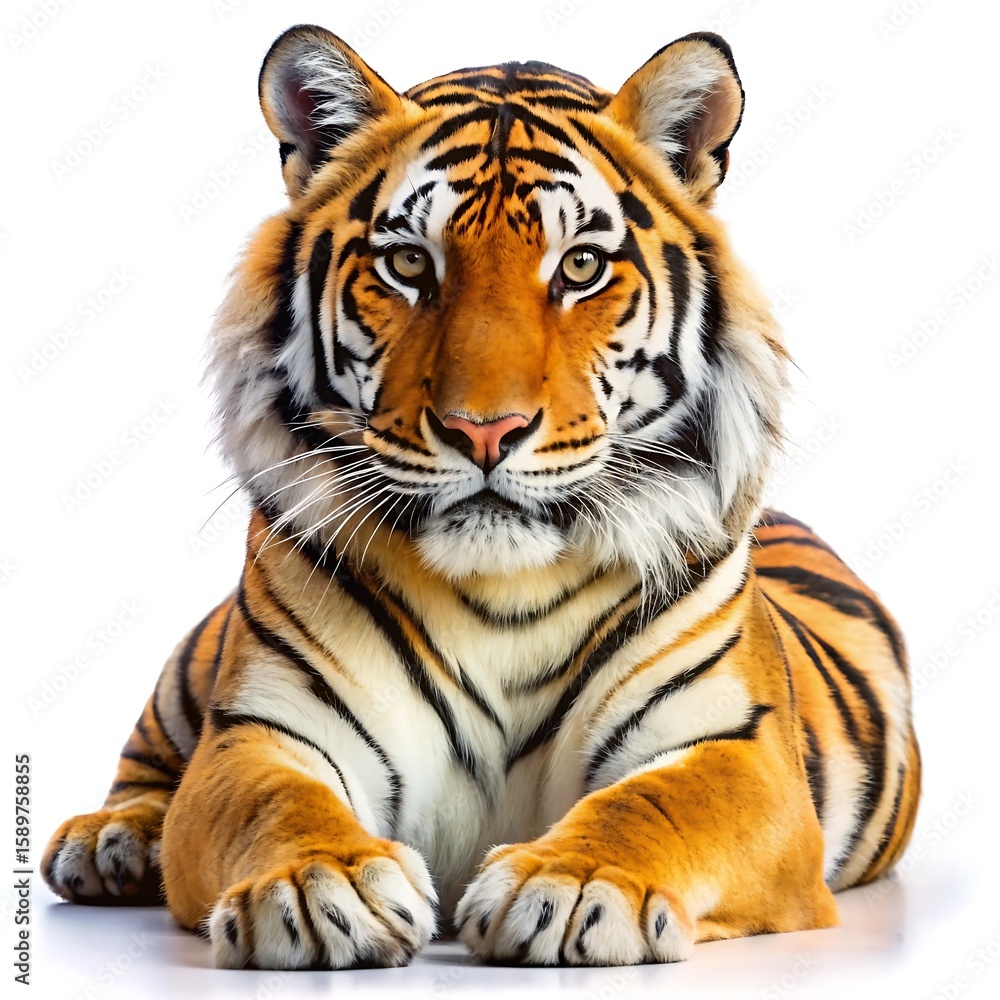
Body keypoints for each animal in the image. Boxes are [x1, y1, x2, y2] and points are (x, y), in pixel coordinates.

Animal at [42, 25, 920, 969]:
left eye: (581, 266)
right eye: (407, 263)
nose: (485, 430)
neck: (503, 595)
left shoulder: (733, 746)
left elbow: (651, 803)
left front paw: (572, 884)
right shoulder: (263, 730)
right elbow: (276, 803)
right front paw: (322, 887)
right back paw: (111, 840)